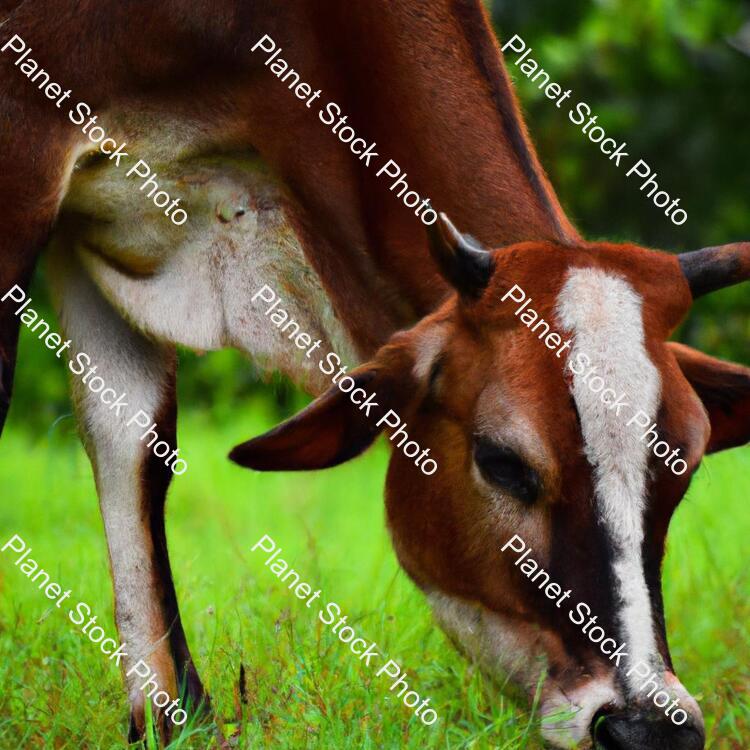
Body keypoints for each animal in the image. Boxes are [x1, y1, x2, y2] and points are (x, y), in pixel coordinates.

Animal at [0, 1, 748, 750]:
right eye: (503, 463)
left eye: (683, 468)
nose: (649, 728)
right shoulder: (26, 151)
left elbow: (131, 445)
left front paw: (171, 717)